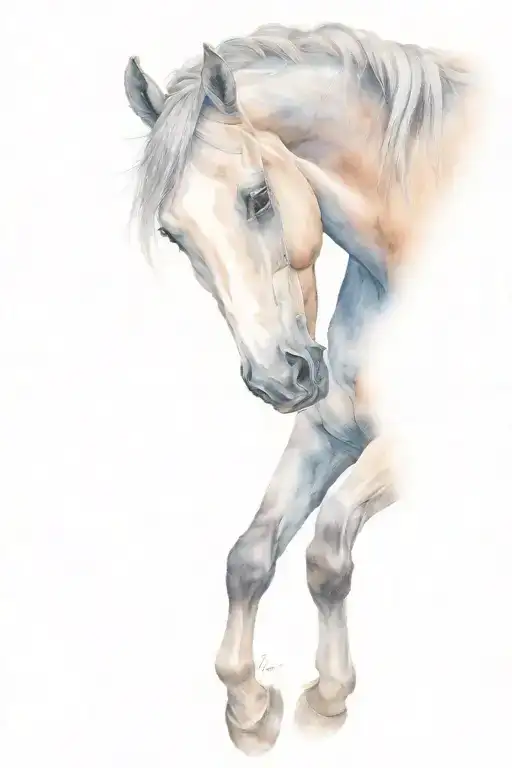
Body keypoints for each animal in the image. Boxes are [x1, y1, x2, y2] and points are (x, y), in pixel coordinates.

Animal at [123, 22, 478, 755]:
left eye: (258, 196)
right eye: (173, 235)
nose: (278, 379)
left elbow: (327, 547)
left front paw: (328, 697)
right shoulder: (330, 429)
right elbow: (250, 556)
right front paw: (249, 706)